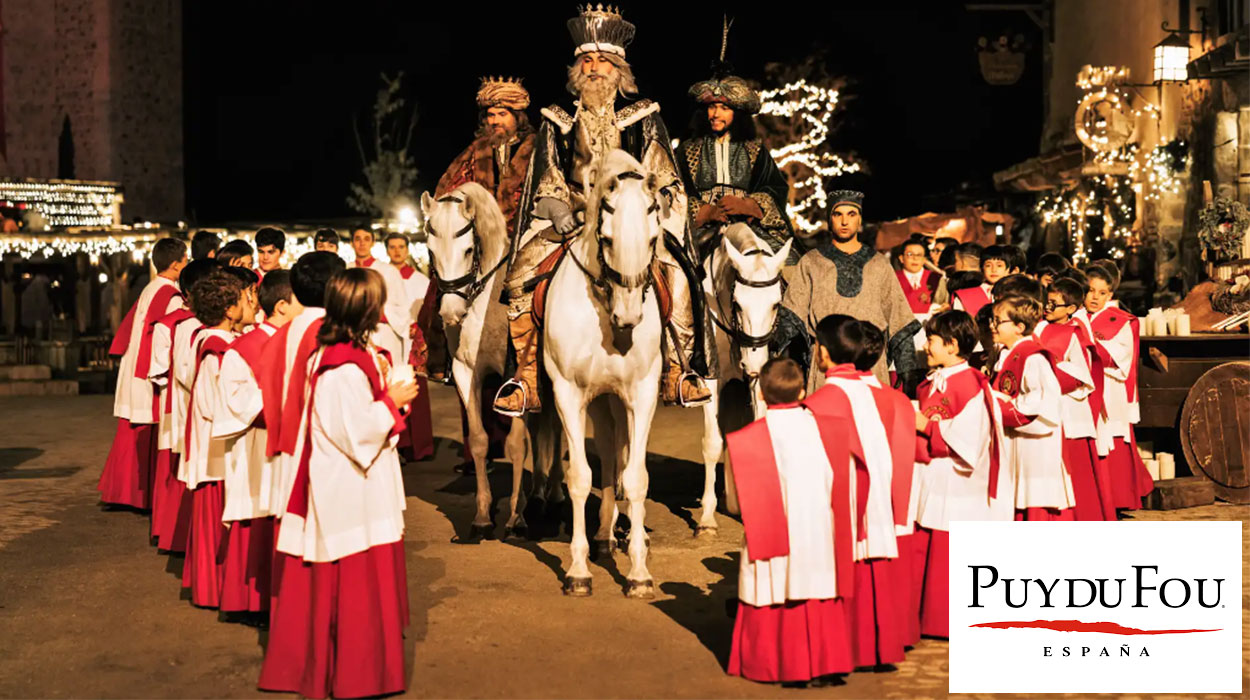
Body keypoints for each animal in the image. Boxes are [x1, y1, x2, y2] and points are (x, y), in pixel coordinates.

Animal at [420, 181, 557, 542]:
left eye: (469, 250)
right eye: (429, 251)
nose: (451, 313)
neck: (488, 306)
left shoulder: (517, 379)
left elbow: (516, 445)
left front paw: (515, 518)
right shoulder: (466, 373)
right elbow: (481, 441)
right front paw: (482, 517)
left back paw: (553, 495)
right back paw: (539, 494)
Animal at [542, 150, 670, 600]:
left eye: (652, 239)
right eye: (608, 239)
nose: (628, 317)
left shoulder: (642, 394)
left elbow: (637, 478)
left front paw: (639, 572)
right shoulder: (567, 393)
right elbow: (581, 476)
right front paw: (578, 570)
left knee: (620, 456)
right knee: (610, 453)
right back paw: (601, 538)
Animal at [695, 221, 790, 532]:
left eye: (776, 304)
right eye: (737, 303)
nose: (754, 362)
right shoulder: (710, 380)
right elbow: (712, 443)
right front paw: (707, 517)